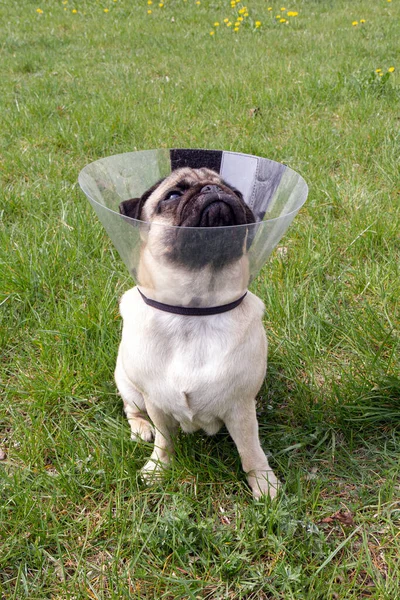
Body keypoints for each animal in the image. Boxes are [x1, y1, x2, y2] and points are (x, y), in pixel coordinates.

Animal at [114, 166, 280, 500]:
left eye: (236, 192)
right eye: (174, 195)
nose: (211, 189)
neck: (194, 310)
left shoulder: (240, 407)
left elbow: (250, 449)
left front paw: (263, 483)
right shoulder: (156, 402)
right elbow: (164, 440)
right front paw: (158, 468)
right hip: (128, 384)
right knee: (131, 409)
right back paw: (140, 428)